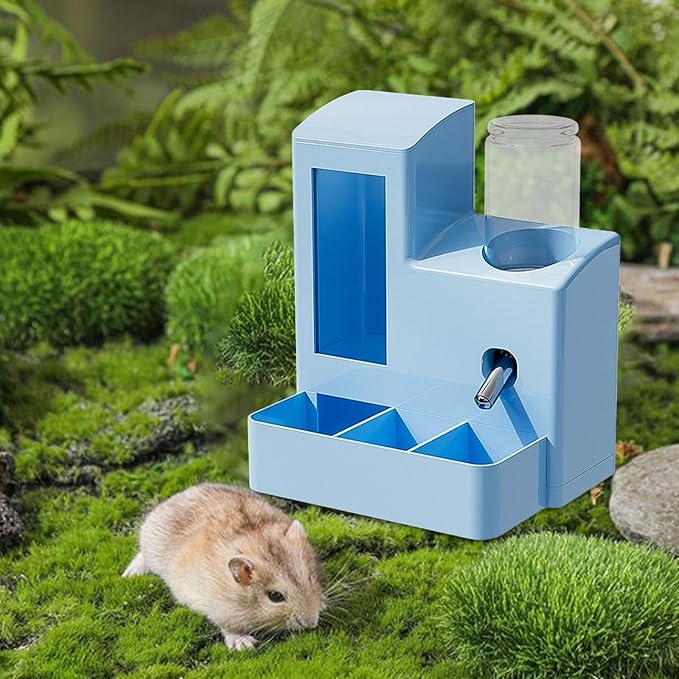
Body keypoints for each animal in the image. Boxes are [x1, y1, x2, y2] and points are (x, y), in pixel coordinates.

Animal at [123, 483, 324, 650]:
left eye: (310, 578)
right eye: (275, 596)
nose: (312, 623)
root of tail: (178, 495)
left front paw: (322, 604)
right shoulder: (218, 609)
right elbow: (228, 627)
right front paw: (244, 645)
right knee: (142, 555)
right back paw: (130, 574)